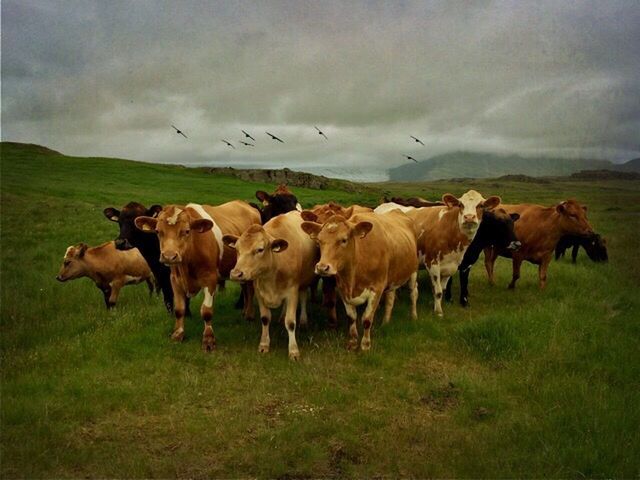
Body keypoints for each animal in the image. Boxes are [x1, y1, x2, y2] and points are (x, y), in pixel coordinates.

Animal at [134, 201, 260, 350]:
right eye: (158, 231)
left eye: (186, 231)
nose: (169, 256)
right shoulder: (175, 280)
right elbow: (179, 309)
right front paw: (178, 334)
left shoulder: (210, 279)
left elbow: (206, 311)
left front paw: (208, 339)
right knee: (245, 288)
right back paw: (245, 311)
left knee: (250, 290)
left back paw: (250, 315)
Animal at [222, 211, 318, 360]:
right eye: (237, 249)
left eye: (260, 249)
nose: (236, 273)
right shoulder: (259, 292)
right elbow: (265, 318)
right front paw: (264, 344)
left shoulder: (292, 291)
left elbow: (291, 322)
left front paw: (293, 350)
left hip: (305, 280)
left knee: (303, 297)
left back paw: (303, 320)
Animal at [304, 210, 422, 348]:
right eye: (319, 240)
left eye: (344, 240)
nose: (322, 267)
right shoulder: (343, 289)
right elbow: (351, 317)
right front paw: (353, 341)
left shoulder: (377, 288)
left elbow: (366, 319)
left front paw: (365, 344)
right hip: (393, 277)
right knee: (390, 298)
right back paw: (386, 322)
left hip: (413, 270)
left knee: (413, 292)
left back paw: (414, 316)